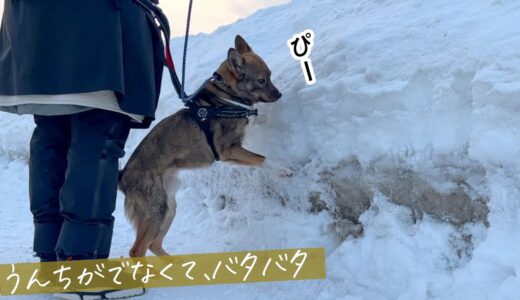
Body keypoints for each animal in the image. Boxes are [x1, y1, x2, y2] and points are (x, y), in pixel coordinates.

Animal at [118, 34, 282, 255]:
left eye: (270, 75)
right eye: (261, 80)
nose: (279, 95)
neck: (226, 98)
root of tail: (123, 177)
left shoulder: (233, 152)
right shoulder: (227, 150)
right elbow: (262, 158)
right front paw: (282, 169)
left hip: (169, 206)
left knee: (155, 244)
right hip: (156, 210)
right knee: (137, 250)